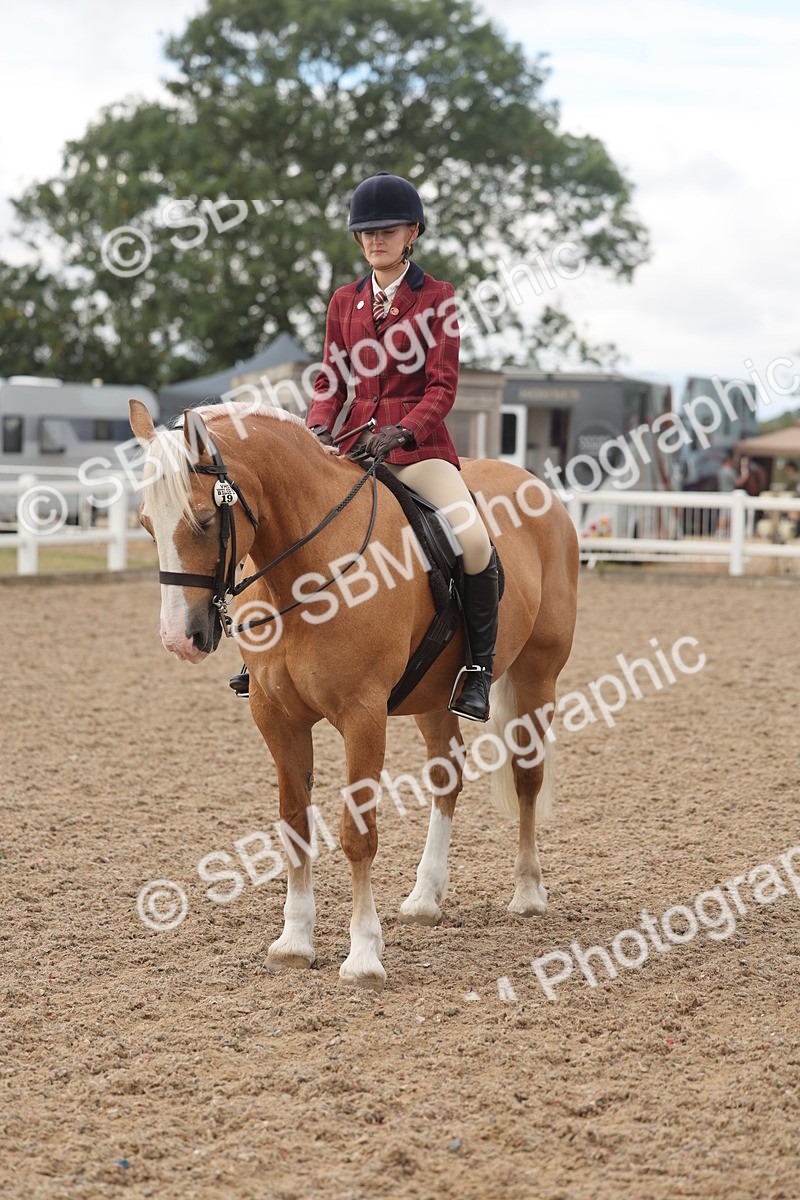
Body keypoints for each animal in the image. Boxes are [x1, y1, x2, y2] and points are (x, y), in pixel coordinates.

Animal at [129, 399, 579, 989]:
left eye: (204, 520)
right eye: (146, 523)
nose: (180, 639)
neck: (308, 568)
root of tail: (534, 485)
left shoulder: (363, 716)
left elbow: (357, 834)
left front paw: (364, 955)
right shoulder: (277, 718)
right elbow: (295, 826)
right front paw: (294, 942)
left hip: (536, 676)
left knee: (527, 776)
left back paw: (527, 891)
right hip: (434, 696)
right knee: (447, 775)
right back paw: (425, 898)